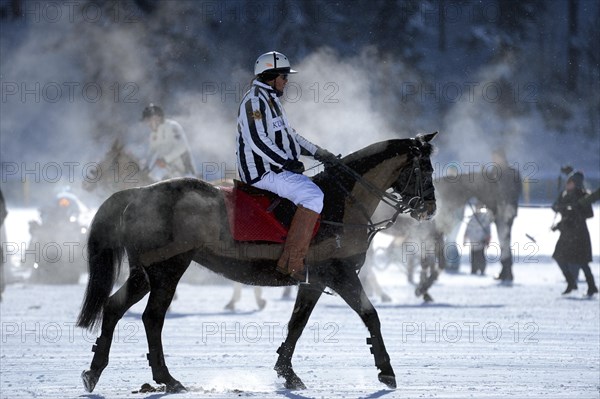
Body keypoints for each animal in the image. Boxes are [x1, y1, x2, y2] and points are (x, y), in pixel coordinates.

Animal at [77, 134, 438, 394]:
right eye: (424, 169)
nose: (429, 209)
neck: (340, 203)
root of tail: (138, 193)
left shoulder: (314, 280)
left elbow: (297, 324)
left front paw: (287, 373)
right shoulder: (340, 273)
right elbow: (370, 315)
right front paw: (386, 371)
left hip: (146, 272)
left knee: (113, 307)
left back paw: (94, 372)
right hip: (168, 270)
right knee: (152, 318)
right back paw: (167, 378)